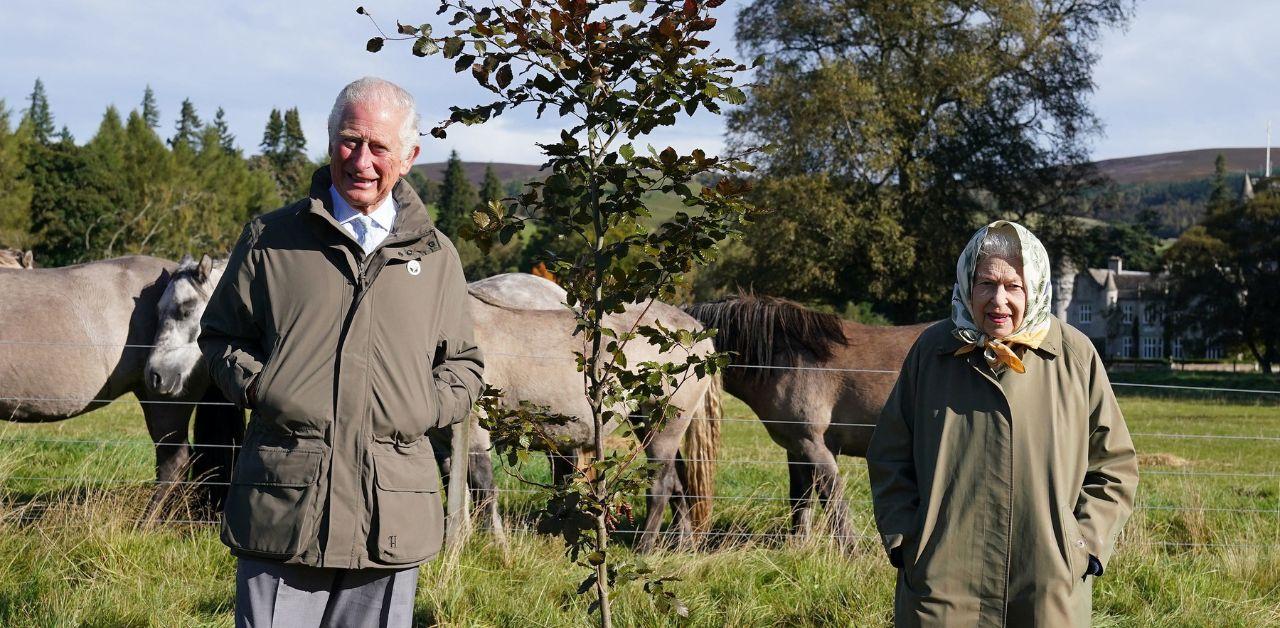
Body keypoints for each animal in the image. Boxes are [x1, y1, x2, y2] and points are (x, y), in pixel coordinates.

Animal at [686, 298, 926, 542]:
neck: (786, 361)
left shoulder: (813, 445)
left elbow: (833, 499)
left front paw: (850, 548)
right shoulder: (796, 449)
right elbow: (801, 500)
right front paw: (800, 545)